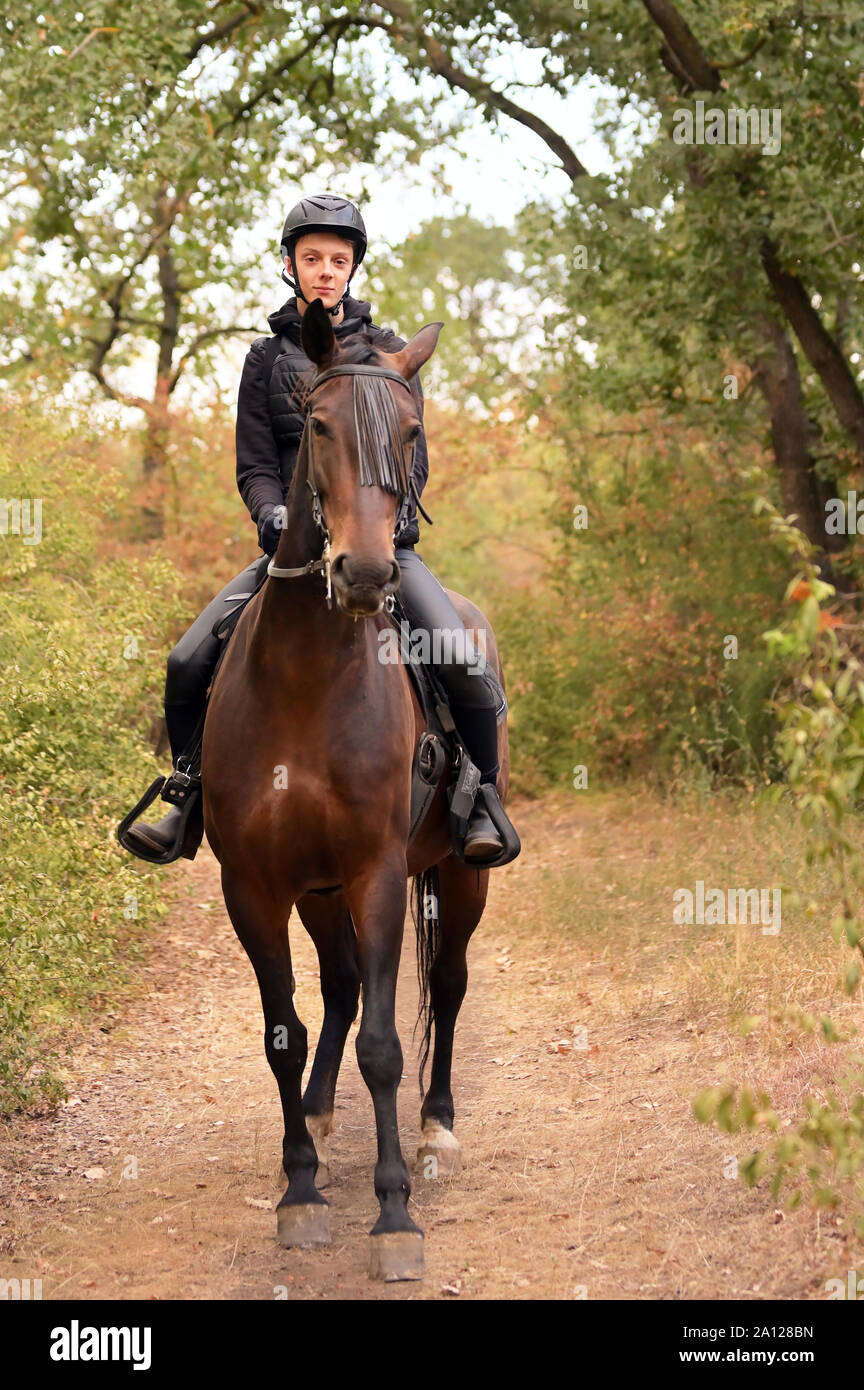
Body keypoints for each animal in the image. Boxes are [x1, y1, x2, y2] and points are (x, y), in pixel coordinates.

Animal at [201, 301, 513, 1278]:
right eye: (319, 425)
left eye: (412, 433)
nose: (368, 574)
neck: (309, 675)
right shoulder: (256, 885)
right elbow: (286, 1032)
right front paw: (301, 1192)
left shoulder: (378, 871)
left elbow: (385, 1042)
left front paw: (395, 1215)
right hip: (318, 889)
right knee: (338, 987)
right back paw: (317, 1110)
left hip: (459, 875)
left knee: (446, 982)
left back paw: (438, 1130)